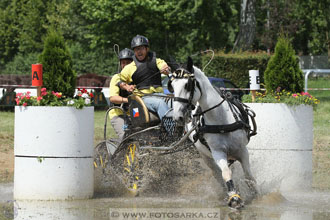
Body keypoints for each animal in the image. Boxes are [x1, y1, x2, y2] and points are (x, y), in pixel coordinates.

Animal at [170, 57, 258, 209]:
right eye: (172, 86)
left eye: (188, 85)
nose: (178, 117)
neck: (221, 121)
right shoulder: (217, 152)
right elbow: (226, 173)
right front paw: (234, 198)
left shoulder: (242, 151)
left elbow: (248, 175)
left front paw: (256, 193)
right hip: (206, 157)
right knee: (217, 173)